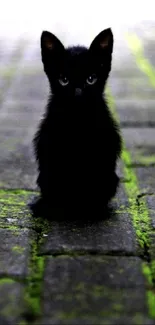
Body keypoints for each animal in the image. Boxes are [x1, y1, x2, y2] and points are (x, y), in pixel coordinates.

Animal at [30, 27, 122, 218]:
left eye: (91, 79)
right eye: (64, 80)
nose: (78, 93)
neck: (77, 121)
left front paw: (93, 209)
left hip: (111, 177)